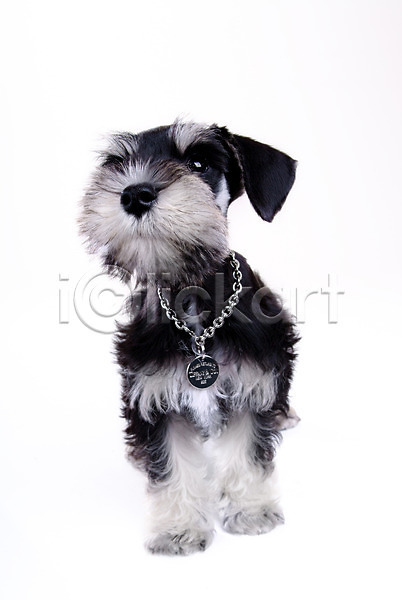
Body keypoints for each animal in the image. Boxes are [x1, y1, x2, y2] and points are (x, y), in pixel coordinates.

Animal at [80, 120, 299, 555]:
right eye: (119, 164)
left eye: (198, 163)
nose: (134, 193)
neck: (192, 295)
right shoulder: (154, 396)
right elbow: (171, 465)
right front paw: (178, 529)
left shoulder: (253, 383)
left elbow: (247, 451)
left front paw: (251, 511)